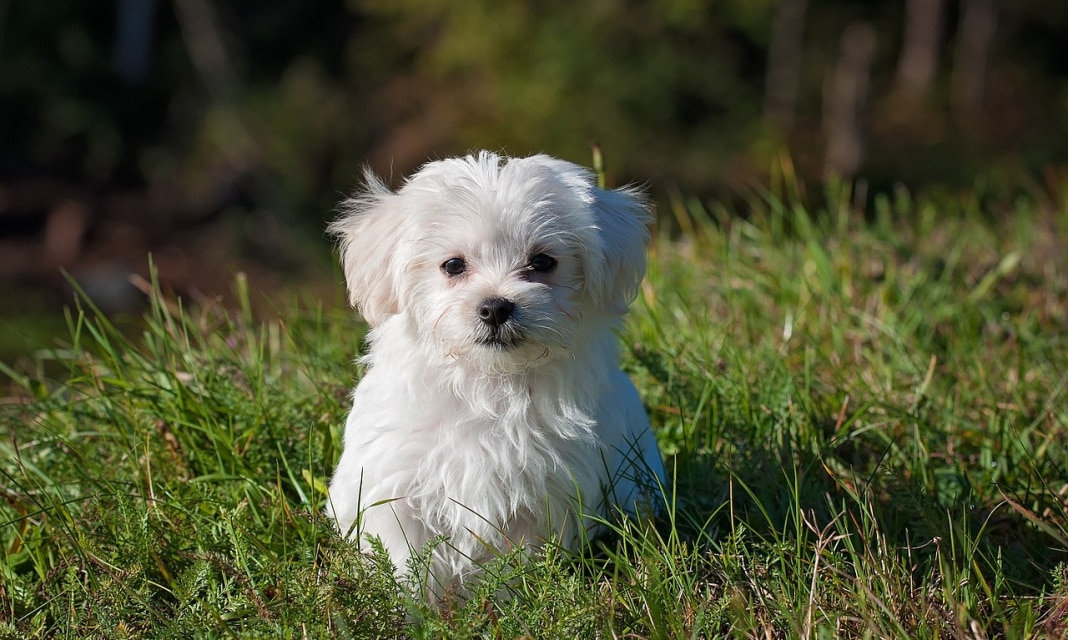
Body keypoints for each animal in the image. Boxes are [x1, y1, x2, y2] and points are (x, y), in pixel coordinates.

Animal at [324, 151, 662, 602]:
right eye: (453, 265)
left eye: (542, 262)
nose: (495, 306)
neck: (490, 383)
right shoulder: (395, 486)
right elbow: (405, 560)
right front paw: (411, 609)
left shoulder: (543, 496)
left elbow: (517, 562)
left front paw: (506, 603)